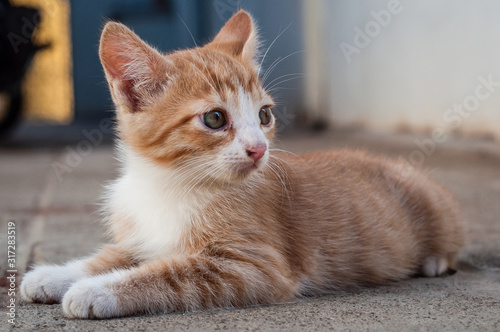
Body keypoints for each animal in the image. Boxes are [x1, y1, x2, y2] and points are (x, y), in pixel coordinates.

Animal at [20, 9, 464, 316]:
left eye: (264, 115)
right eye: (215, 119)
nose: (259, 149)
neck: (170, 183)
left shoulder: (256, 267)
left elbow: (171, 273)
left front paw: (97, 290)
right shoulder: (138, 233)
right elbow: (112, 255)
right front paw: (54, 275)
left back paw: (435, 260)